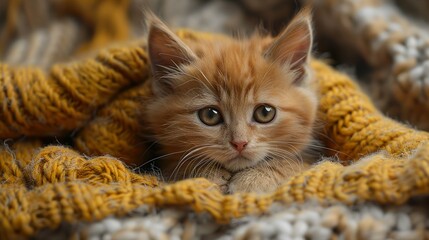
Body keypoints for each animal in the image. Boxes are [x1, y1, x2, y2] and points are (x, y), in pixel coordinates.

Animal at [144, 8, 318, 194]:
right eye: (210, 115)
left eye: (265, 113)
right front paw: (208, 174)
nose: (239, 143)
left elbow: (293, 162)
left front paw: (254, 179)